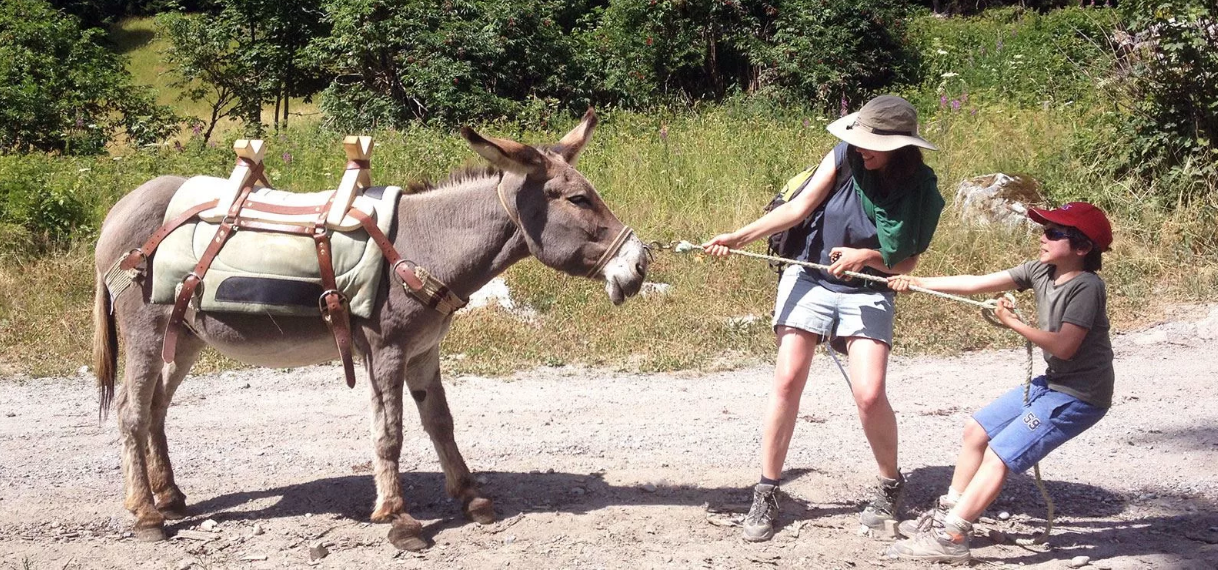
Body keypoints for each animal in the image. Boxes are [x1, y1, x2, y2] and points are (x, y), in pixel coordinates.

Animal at [91, 110, 650, 550]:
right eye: (578, 200)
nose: (640, 264)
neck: (426, 246)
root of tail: (121, 206)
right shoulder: (387, 350)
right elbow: (390, 433)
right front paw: (399, 519)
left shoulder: (425, 351)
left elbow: (441, 423)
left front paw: (470, 497)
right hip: (146, 331)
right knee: (131, 412)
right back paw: (146, 515)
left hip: (184, 338)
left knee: (156, 408)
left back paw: (169, 497)